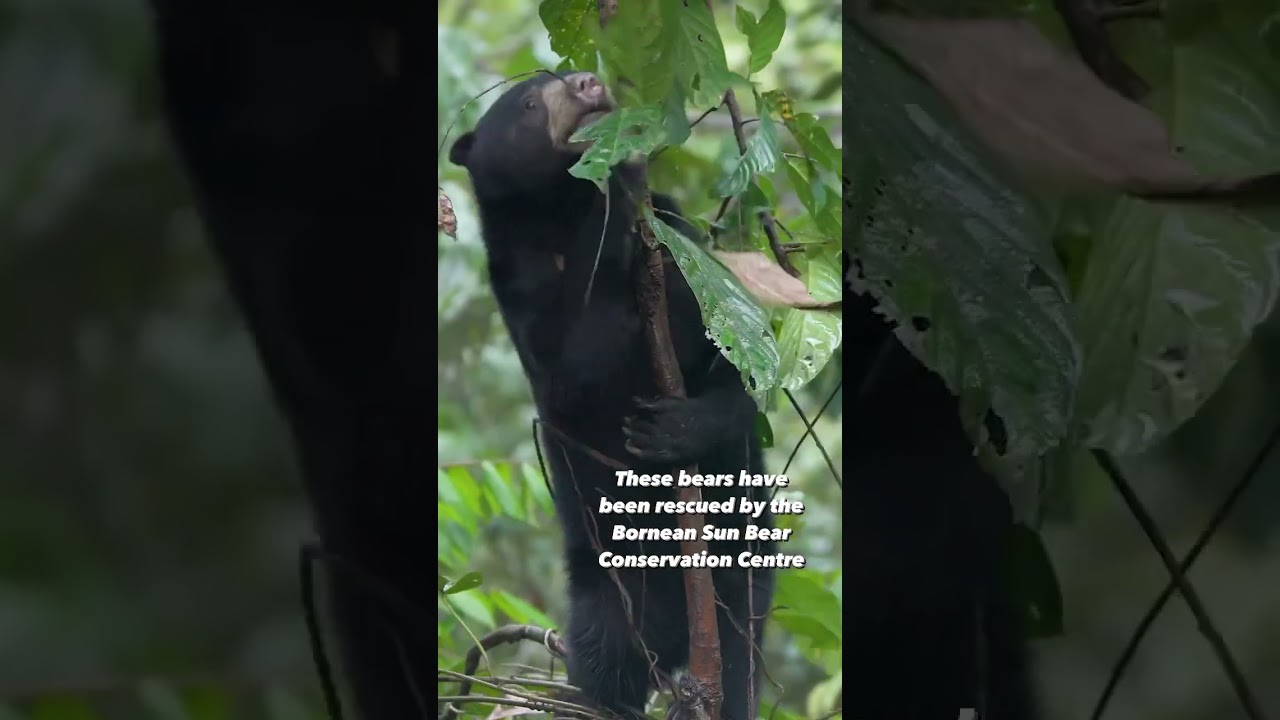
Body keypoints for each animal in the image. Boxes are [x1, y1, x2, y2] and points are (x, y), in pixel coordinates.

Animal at [448, 71, 775, 720]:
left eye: (560, 77)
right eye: (529, 102)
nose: (586, 82)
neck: (560, 213)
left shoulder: (681, 242)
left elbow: (732, 350)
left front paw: (671, 430)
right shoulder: (521, 295)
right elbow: (577, 368)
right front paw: (618, 192)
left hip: (741, 579)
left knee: (739, 660)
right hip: (612, 597)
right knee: (605, 667)